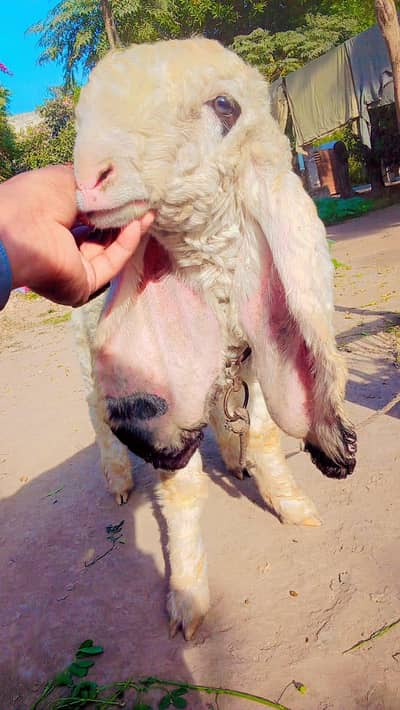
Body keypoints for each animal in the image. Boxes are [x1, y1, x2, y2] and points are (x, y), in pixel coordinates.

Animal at [72, 37, 357, 640]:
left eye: (224, 106)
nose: (85, 178)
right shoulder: (161, 399)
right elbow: (181, 489)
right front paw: (187, 597)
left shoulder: (258, 358)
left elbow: (267, 436)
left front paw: (293, 506)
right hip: (88, 362)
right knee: (99, 418)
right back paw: (118, 480)